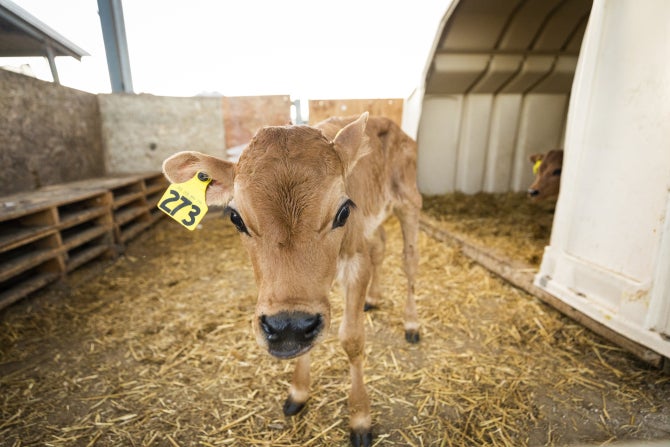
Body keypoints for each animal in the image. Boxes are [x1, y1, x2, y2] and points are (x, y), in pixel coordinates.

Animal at [162, 113, 422, 447]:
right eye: (235, 218)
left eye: (343, 212)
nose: (288, 327)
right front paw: (298, 392)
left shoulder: (356, 262)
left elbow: (351, 340)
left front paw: (361, 418)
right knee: (380, 245)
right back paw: (374, 298)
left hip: (409, 201)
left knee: (409, 261)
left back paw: (411, 323)